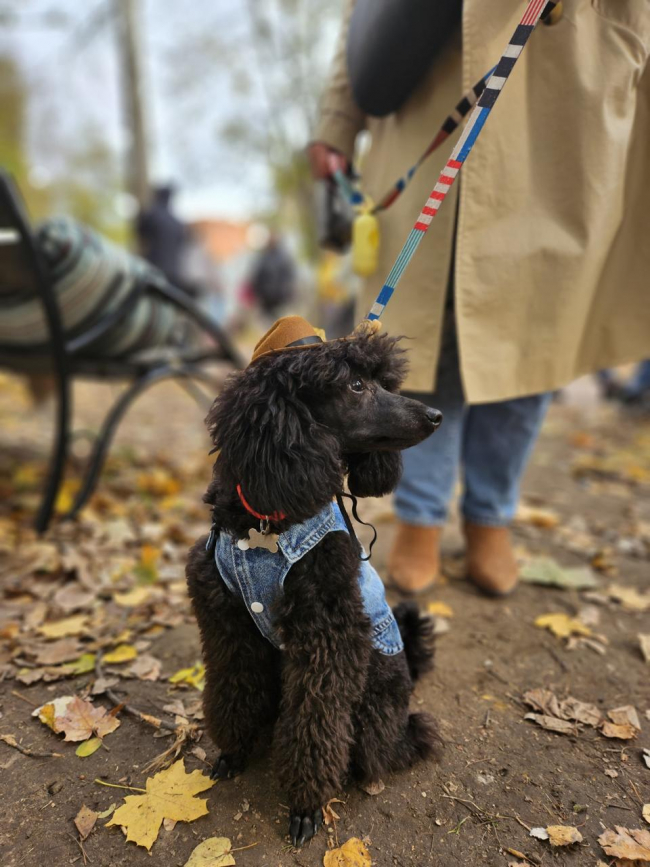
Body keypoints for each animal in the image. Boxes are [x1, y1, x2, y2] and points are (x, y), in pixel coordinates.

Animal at [185, 318, 442, 848]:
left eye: (384, 381)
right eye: (356, 385)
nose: (435, 415)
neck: (269, 518)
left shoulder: (327, 634)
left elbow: (315, 721)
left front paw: (306, 804)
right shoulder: (226, 621)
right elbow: (233, 687)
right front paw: (234, 751)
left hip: (377, 700)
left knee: (391, 744)